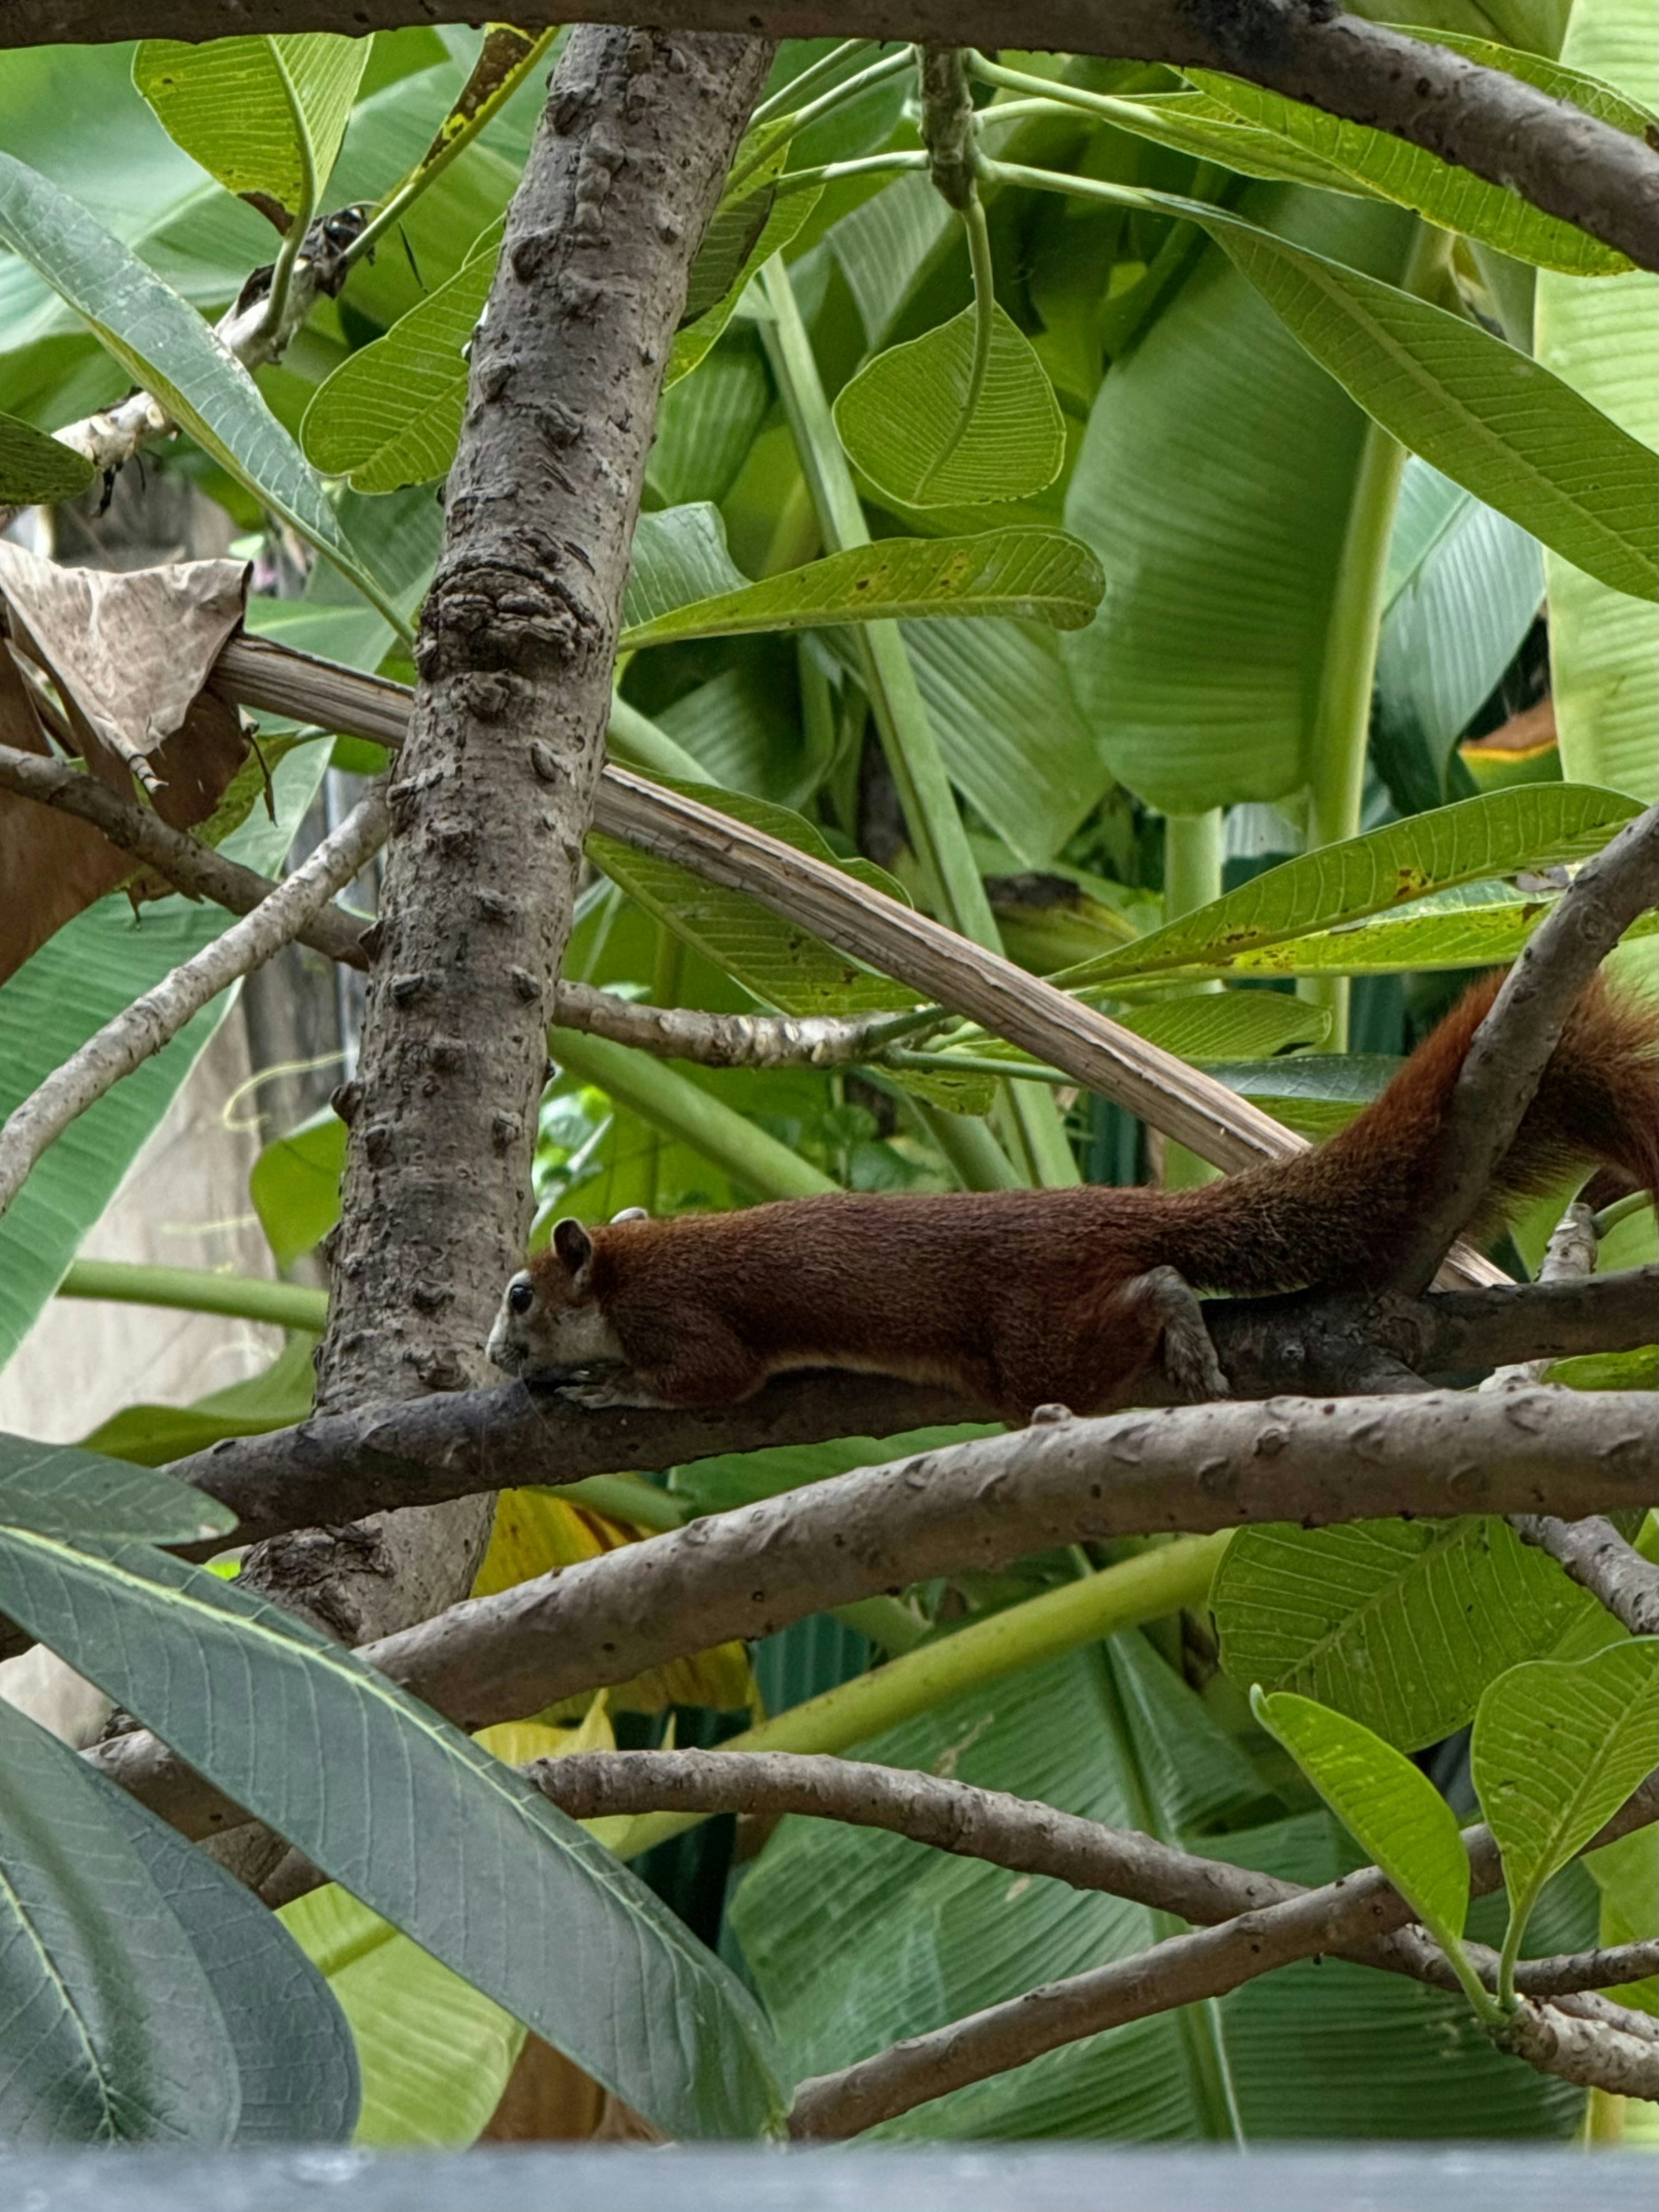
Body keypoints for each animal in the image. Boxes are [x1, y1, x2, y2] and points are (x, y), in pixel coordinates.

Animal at [486, 971, 1656, 1425]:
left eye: (519, 1296)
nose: (494, 1358)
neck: (629, 1270)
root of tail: (1094, 1207)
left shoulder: (681, 1315)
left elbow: (709, 1380)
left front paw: (608, 1388)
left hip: (1031, 1342)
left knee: (1143, 1292)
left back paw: (1178, 1321)